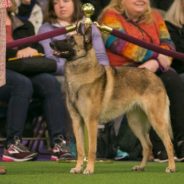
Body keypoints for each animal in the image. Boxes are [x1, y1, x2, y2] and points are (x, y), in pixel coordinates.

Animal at [50, 30, 175, 174]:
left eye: (71, 40)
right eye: (66, 37)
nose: (51, 43)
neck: (80, 74)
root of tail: (156, 77)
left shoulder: (91, 122)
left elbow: (91, 149)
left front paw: (89, 169)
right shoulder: (77, 122)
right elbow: (81, 150)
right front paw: (78, 168)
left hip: (156, 121)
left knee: (169, 143)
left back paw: (171, 167)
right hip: (135, 123)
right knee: (147, 145)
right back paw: (141, 166)